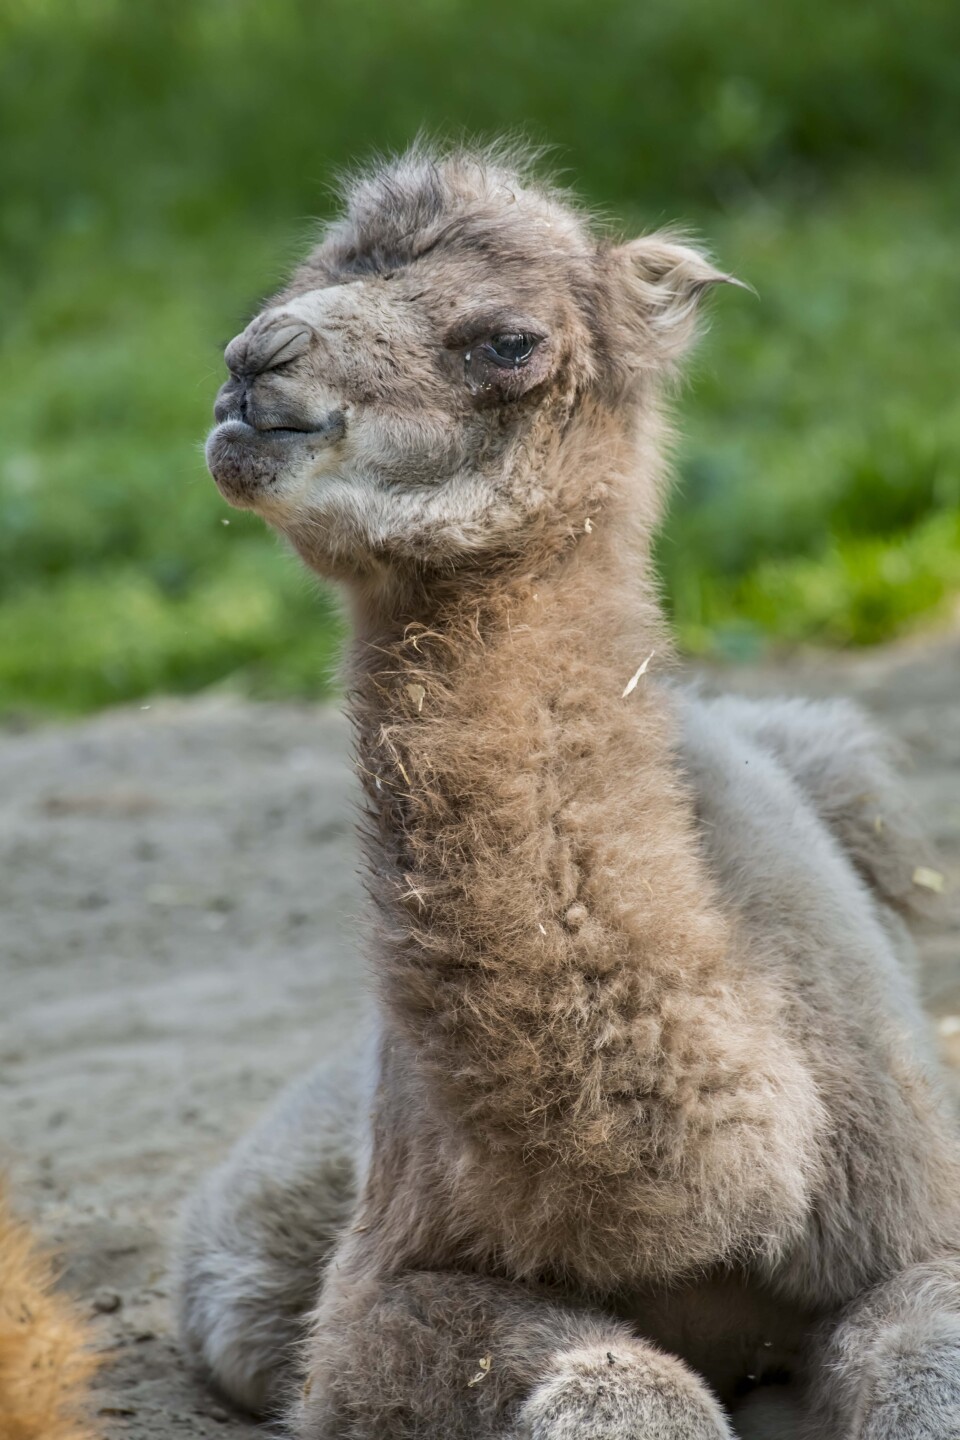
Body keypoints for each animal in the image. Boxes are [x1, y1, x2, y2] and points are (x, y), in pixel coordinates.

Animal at [177, 142, 960, 1438]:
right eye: (300, 280)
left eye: (506, 342)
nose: (254, 365)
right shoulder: (379, 1291)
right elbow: (614, 1379)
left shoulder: (916, 1220)